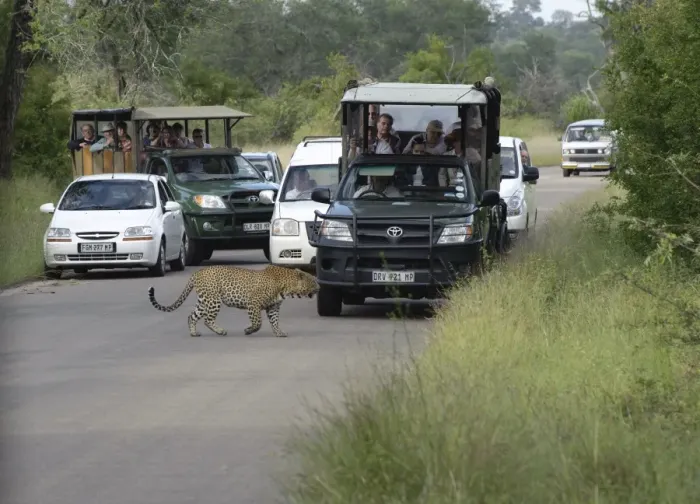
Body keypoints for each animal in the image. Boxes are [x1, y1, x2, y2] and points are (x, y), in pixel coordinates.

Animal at [147, 264, 319, 338]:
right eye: (313, 281)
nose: (320, 287)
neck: (286, 287)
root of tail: (197, 272)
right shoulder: (253, 304)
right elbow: (258, 322)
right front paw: (249, 330)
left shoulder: (273, 307)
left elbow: (275, 321)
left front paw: (279, 333)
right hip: (213, 300)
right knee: (207, 320)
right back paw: (221, 331)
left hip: (204, 301)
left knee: (192, 316)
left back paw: (194, 333)